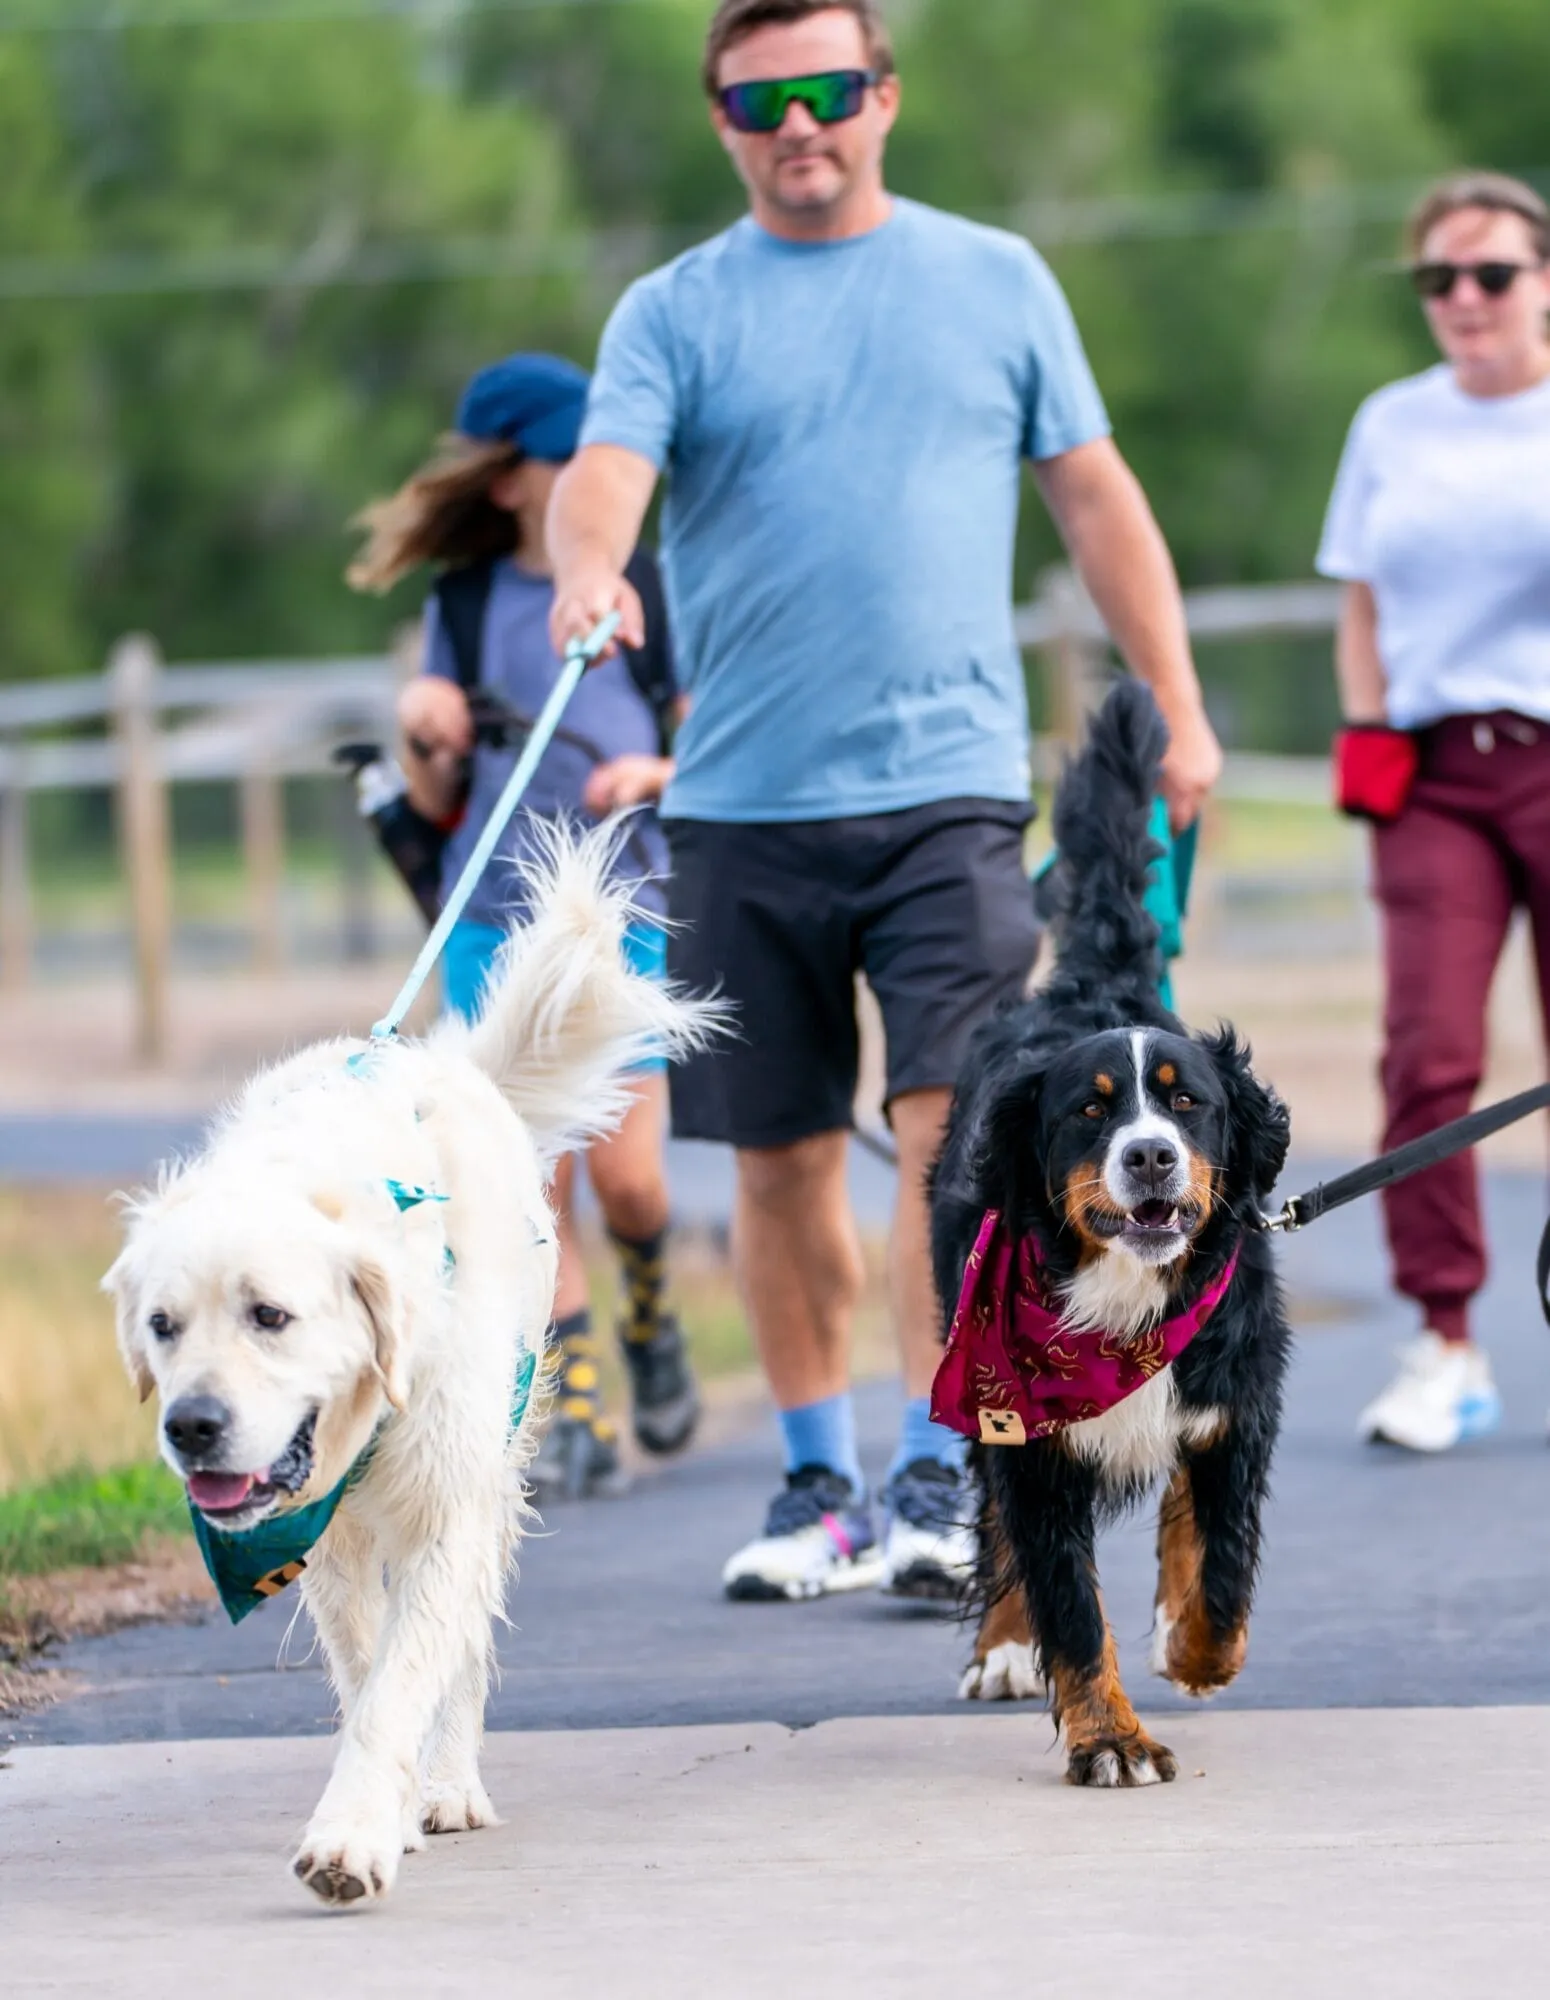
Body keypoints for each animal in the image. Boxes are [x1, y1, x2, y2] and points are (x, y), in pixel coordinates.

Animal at [103, 828, 720, 1904]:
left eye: (271, 1315)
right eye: (163, 1326)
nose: (192, 1427)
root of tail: (439, 1060)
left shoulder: (445, 1504)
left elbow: (408, 1674)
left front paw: (355, 1834)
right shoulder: (323, 1537)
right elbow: (363, 1674)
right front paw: (373, 1811)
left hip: (492, 1464)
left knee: (464, 1644)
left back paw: (451, 1785)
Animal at [932, 680, 1296, 1792]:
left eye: (1186, 1104)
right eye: (1090, 1112)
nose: (1149, 1157)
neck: (1125, 1300)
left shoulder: (1229, 1405)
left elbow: (1219, 1566)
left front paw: (1192, 1647)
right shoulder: (1029, 1442)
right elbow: (1065, 1598)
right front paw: (1110, 1739)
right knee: (997, 1534)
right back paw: (1002, 1648)